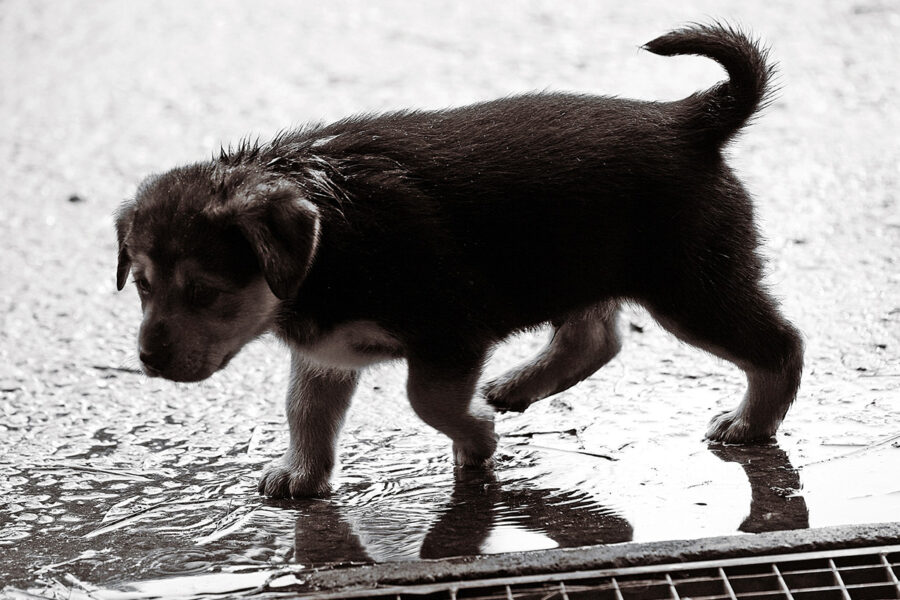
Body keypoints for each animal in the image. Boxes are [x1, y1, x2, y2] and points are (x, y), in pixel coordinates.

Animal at [116, 23, 804, 500]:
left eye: (205, 292)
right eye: (142, 287)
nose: (148, 361)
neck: (330, 239)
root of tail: (690, 121)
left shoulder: (448, 332)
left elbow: (428, 399)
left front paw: (476, 437)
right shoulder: (327, 351)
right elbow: (305, 411)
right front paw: (302, 476)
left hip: (692, 286)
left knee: (780, 345)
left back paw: (751, 422)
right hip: (579, 262)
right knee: (596, 334)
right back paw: (520, 384)